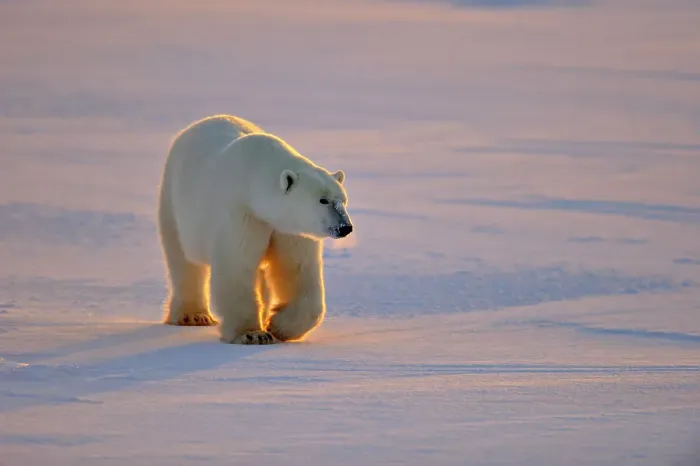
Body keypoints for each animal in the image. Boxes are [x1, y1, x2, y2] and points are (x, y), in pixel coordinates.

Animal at [157, 114, 353, 344]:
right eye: (323, 200)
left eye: (343, 200)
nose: (345, 227)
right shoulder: (242, 214)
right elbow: (237, 266)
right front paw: (253, 334)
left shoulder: (288, 229)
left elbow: (297, 269)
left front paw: (278, 326)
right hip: (174, 203)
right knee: (183, 260)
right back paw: (193, 316)